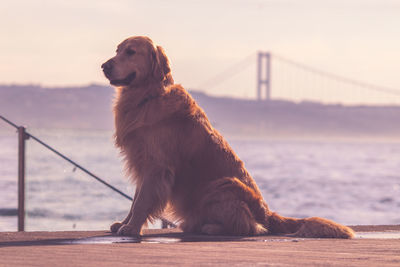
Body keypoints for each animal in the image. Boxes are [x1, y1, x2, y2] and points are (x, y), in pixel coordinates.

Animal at [101, 36, 354, 239]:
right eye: (117, 50)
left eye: (131, 52)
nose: (104, 66)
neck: (148, 97)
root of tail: (268, 213)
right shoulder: (143, 164)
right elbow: (135, 200)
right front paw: (124, 223)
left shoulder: (157, 166)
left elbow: (142, 202)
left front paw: (132, 228)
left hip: (222, 184)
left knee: (250, 227)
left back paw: (212, 227)